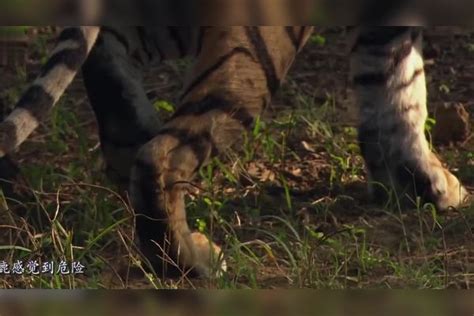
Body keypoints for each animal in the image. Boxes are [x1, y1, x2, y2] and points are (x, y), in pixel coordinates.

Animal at [0, 24, 468, 276]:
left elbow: (393, 78)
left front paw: (414, 183)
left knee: (103, 52)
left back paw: (128, 144)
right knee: (164, 153)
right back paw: (192, 261)